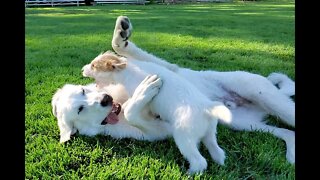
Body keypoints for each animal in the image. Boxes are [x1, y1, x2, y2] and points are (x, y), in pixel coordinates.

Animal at [108, 16, 296, 164]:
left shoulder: (171, 69)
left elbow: (122, 48)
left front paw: (121, 33)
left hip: (267, 98)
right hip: (243, 123)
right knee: (288, 132)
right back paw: (291, 155)